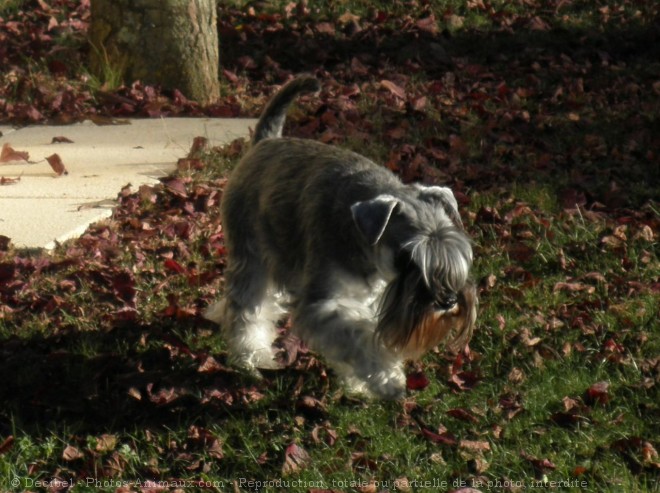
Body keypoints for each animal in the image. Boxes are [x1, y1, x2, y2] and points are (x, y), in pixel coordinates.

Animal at [204, 76, 476, 400]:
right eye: (406, 257)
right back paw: (251, 357)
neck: (360, 241)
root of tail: (264, 142)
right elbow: (360, 340)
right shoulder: (326, 306)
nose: (448, 300)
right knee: (246, 310)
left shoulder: (370, 301)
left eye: (455, 251)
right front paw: (389, 380)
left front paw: (358, 385)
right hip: (250, 255)